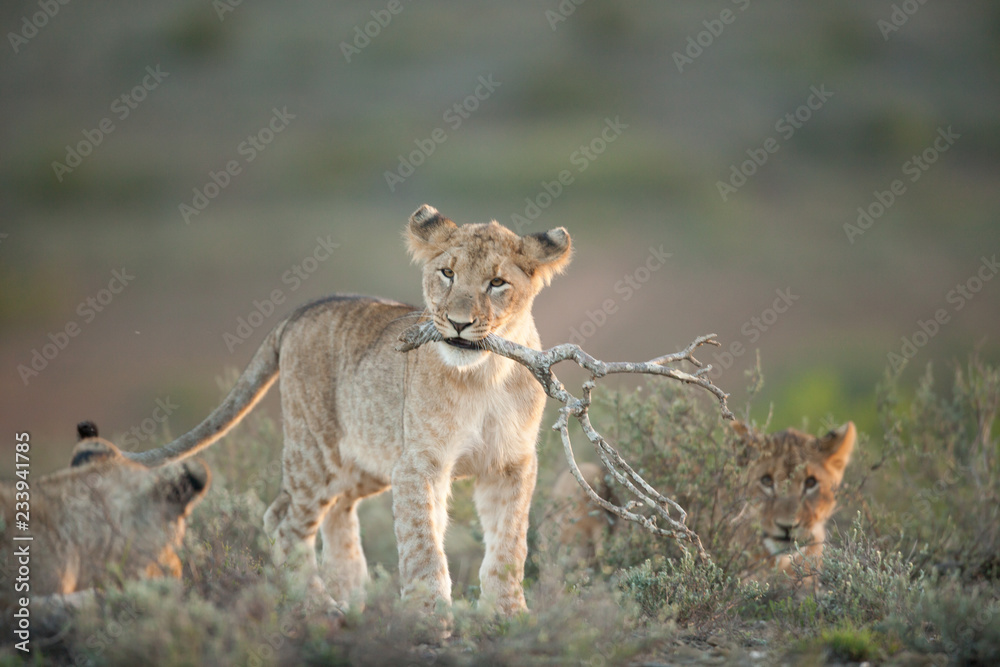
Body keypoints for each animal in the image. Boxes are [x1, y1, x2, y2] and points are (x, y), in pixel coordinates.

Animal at [123, 205, 572, 618]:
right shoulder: (418, 464)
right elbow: (422, 542)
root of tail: (300, 311)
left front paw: (508, 614)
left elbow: (510, 543)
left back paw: (354, 594)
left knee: (333, 512)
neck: (485, 375)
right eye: (447, 273)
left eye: (497, 283)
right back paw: (321, 607)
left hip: (364, 465)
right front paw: (429, 615)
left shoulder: (511, 464)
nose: (459, 323)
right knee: (284, 522)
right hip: (316, 453)